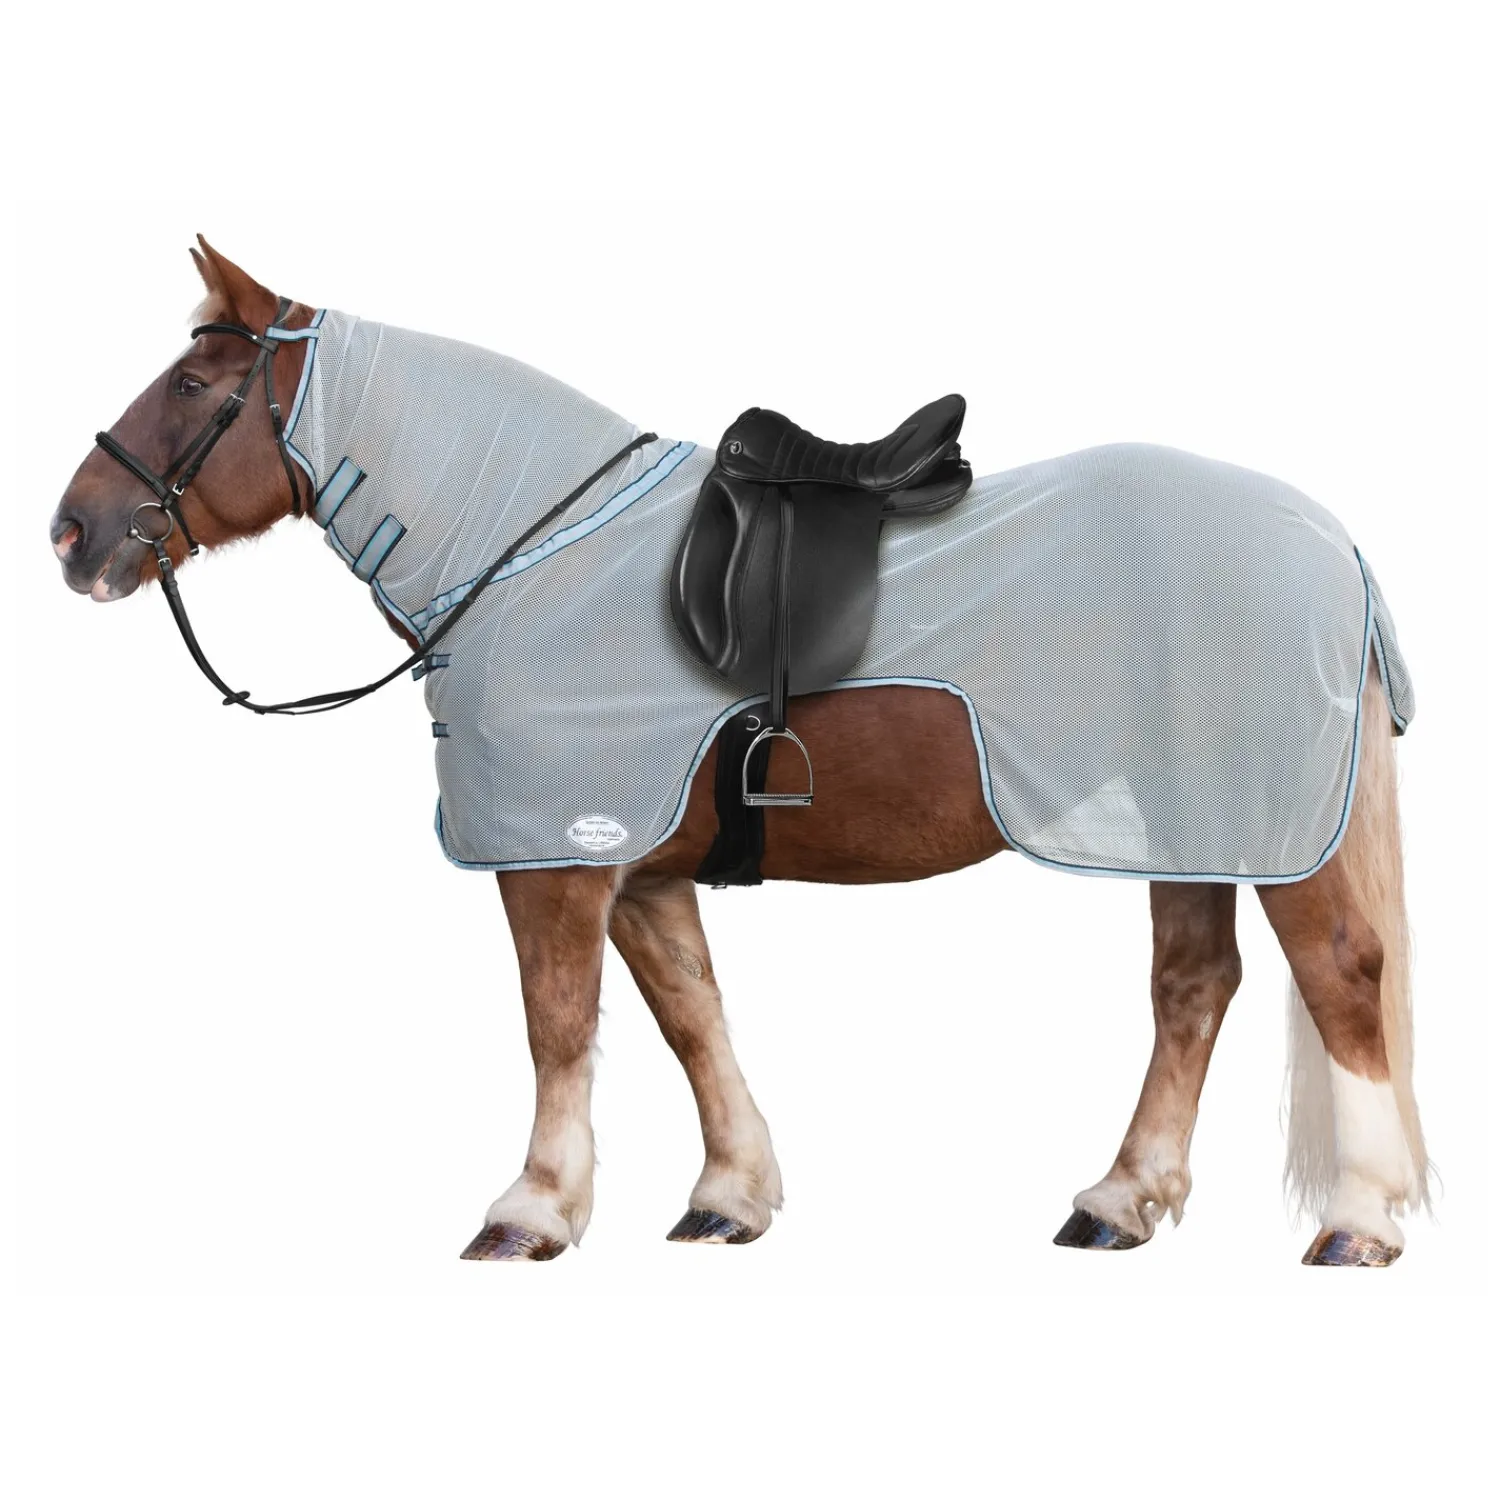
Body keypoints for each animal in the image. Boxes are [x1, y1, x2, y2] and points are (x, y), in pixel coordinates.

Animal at [49, 239, 1429, 1266]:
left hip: (1269, 832)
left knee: (1341, 976)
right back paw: (1118, 1202)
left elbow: (558, 1025)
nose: (72, 532)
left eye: (194, 387)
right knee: (1194, 989)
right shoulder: (642, 871)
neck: (534, 548)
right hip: (1179, 825)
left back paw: (1358, 1222)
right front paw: (727, 1197)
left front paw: (532, 1210)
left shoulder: (555, 863)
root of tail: (1333, 543)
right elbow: (690, 1017)